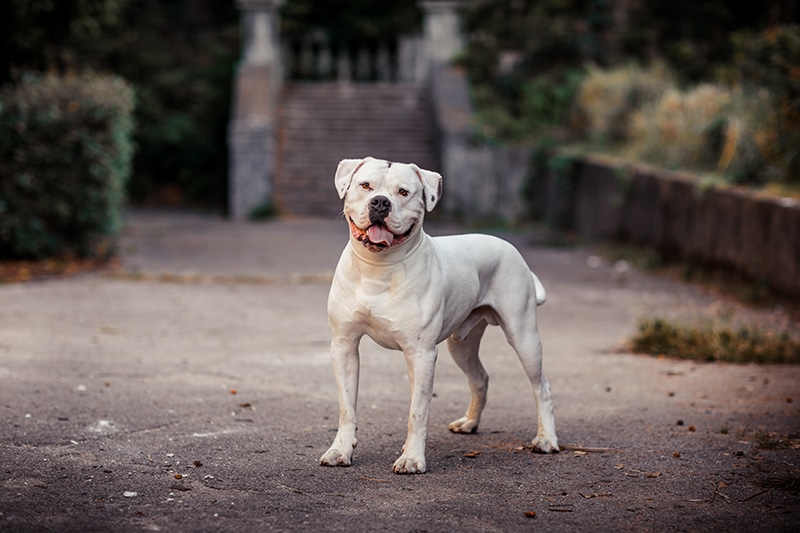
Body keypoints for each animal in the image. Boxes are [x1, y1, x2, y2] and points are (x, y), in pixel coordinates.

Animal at [318, 156, 556, 472]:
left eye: (403, 192)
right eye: (365, 185)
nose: (380, 202)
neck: (377, 269)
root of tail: (510, 247)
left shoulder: (421, 354)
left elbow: (417, 412)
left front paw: (411, 458)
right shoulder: (344, 346)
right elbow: (347, 407)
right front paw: (340, 450)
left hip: (523, 336)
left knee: (541, 387)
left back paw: (547, 439)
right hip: (462, 344)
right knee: (480, 378)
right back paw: (469, 423)